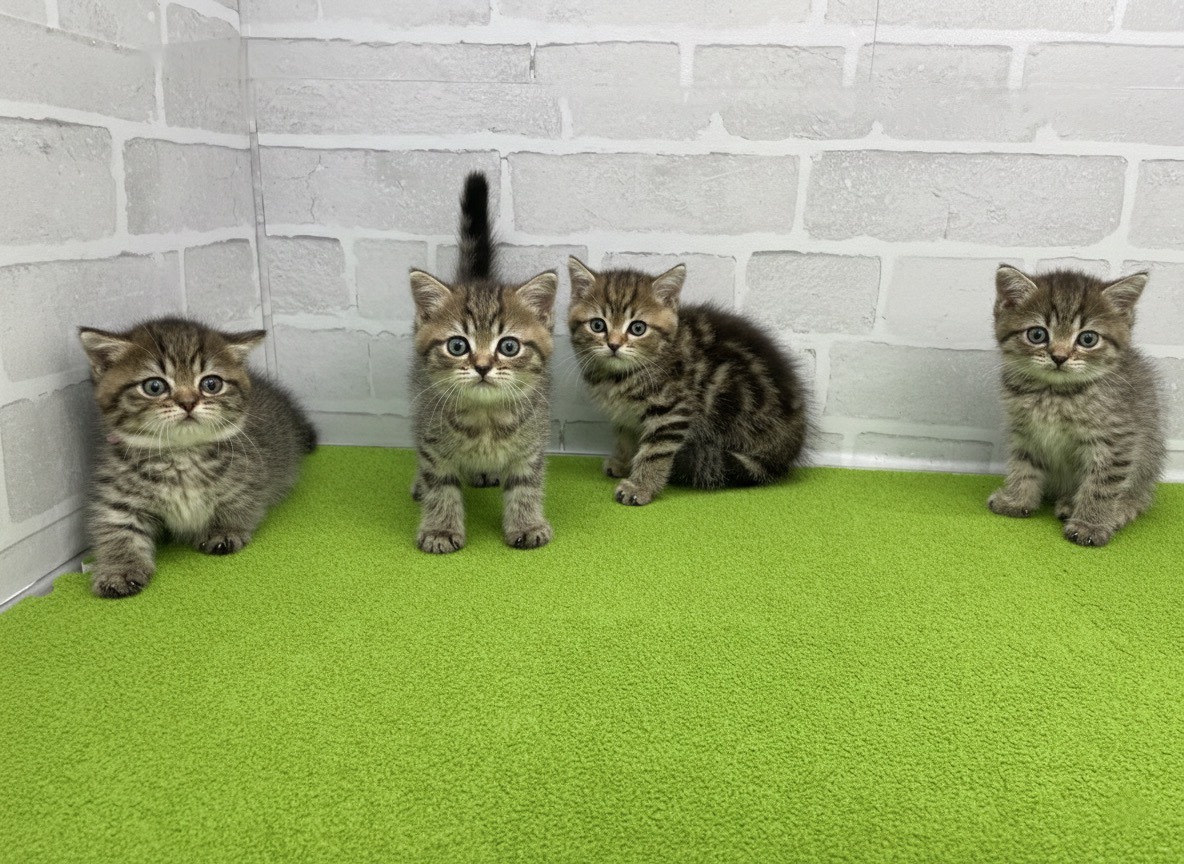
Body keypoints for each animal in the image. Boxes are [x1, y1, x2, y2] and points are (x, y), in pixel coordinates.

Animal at [78, 317, 316, 597]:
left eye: (211, 384)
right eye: (154, 386)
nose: (188, 402)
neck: (181, 455)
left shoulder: (247, 477)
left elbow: (239, 506)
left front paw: (223, 531)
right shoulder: (118, 497)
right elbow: (115, 531)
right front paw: (119, 571)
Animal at [409, 172, 558, 553]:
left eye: (509, 346)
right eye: (458, 345)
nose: (482, 365)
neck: (486, 418)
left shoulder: (531, 445)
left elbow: (525, 486)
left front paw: (527, 524)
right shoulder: (433, 443)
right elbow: (440, 486)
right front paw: (440, 529)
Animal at [567, 257, 809, 505]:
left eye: (638, 328)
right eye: (598, 325)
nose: (614, 345)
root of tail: (792, 445)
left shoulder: (672, 410)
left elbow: (656, 451)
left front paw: (640, 487)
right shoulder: (626, 415)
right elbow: (626, 437)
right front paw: (623, 463)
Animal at [988, 265, 1165, 546]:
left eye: (1088, 339)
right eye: (1037, 334)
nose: (1059, 357)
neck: (1054, 394)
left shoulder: (1117, 440)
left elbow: (1102, 485)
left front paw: (1089, 525)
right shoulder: (1025, 432)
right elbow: (1023, 465)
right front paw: (1016, 500)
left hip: (1148, 456)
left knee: (1138, 496)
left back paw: (1113, 508)